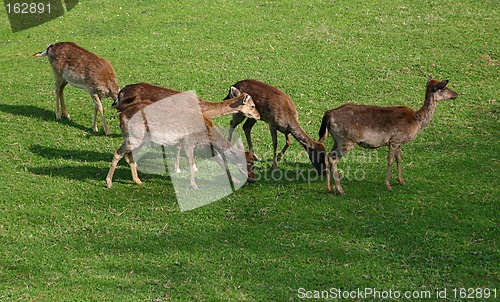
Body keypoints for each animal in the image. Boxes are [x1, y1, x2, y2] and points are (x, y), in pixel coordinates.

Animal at [318, 75, 458, 193]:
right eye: (443, 88)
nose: (456, 94)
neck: (417, 121)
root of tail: (328, 115)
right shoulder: (395, 139)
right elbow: (390, 160)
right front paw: (388, 185)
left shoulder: (399, 142)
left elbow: (399, 159)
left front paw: (402, 181)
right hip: (347, 140)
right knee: (333, 158)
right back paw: (340, 190)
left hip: (337, 140)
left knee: (327, 155)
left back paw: (330, 189)